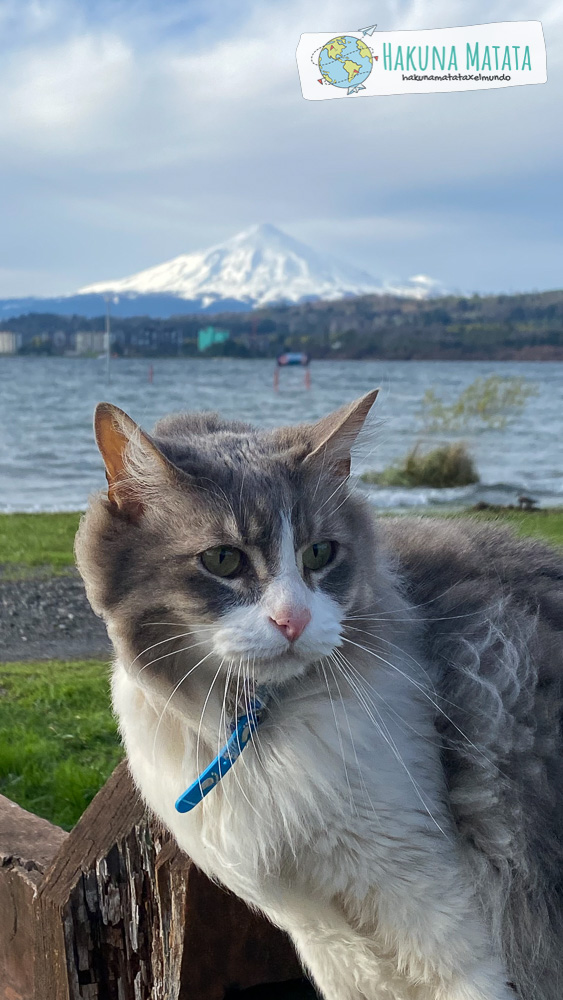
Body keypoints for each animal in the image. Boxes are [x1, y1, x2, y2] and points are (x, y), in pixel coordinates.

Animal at [75, 396, 563, 1000]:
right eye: (223, 560)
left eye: (321, 553)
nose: (294, 620)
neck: (260, 730)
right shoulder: (325, 941)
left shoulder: (451, 925)